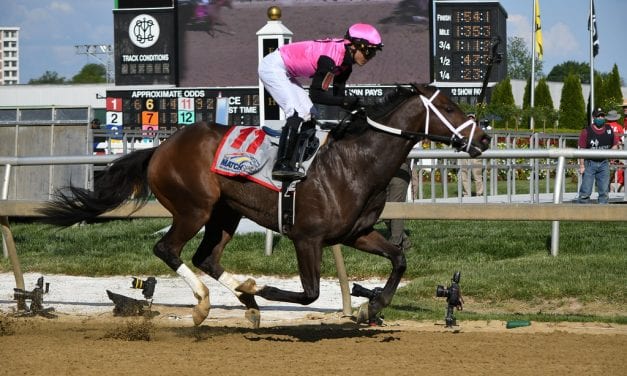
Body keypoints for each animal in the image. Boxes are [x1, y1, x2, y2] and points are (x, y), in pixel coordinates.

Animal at [38, 84, 490, 326]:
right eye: (448, 107)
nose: (484, 138)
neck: (354, 162)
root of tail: (160, 147)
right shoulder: (307, 238)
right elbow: (309, 293)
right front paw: (266, 288)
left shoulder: (356, 233)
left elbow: (398, 259)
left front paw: (372, 306)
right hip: (195, 208)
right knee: (168, 249)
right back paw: (210, 302)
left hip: (226, 213)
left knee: (206, 257)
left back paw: (246, 299)